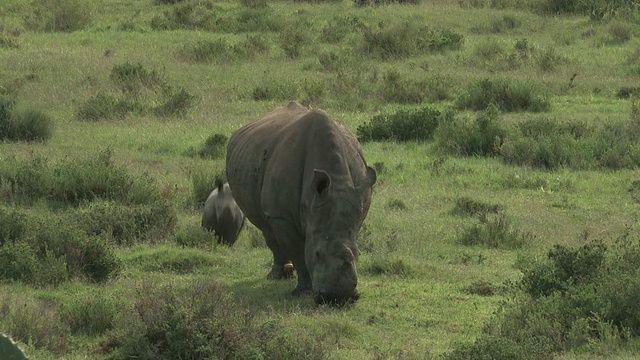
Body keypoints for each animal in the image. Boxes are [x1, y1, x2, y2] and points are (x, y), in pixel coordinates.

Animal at [226, 100, 376, 304]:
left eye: (359, 254)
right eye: (317, 254)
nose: (340, 298)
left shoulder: (356, 208)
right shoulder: (281, 215)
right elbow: (298, 251)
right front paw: (303, 291)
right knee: (267, 229)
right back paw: (277, 276)